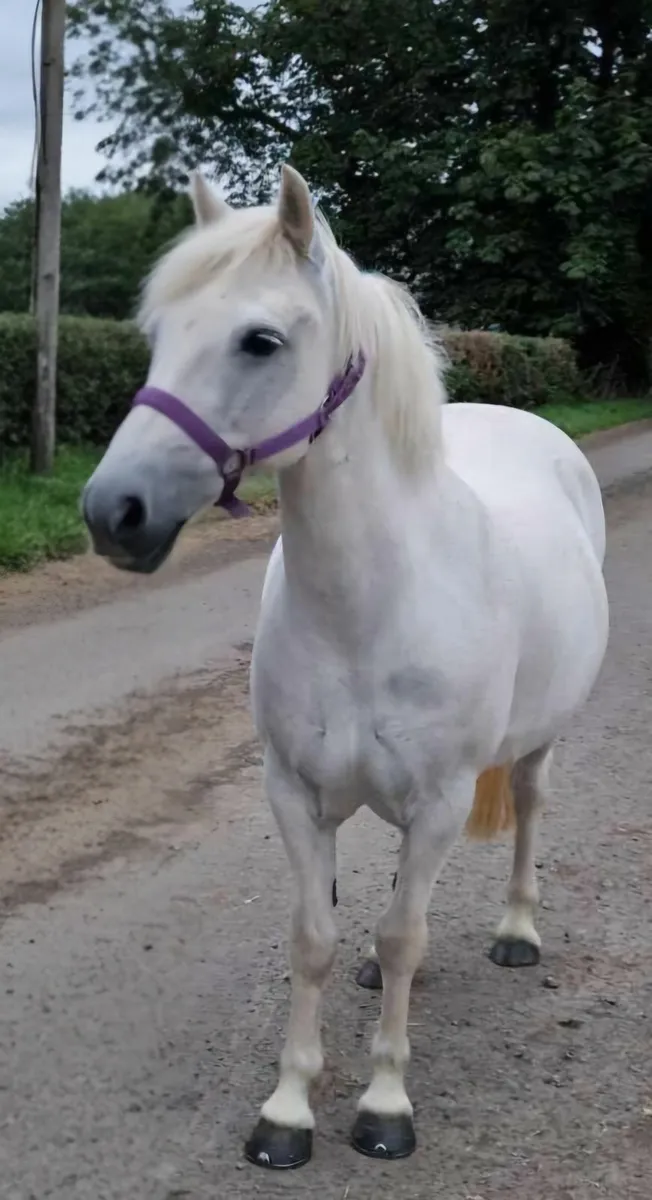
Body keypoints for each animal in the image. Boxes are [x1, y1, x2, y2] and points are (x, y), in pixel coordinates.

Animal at [82, 163, 609, 1170]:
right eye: (159, 336)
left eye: (260, 340)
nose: (112, 512)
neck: (372, 606)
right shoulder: (293, 792)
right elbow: (316, 937)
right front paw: (288, 1110)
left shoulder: (441, 801)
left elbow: (405, 937)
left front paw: (385, 1105)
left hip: (539, 745)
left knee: (526, 809)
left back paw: (517, 929)